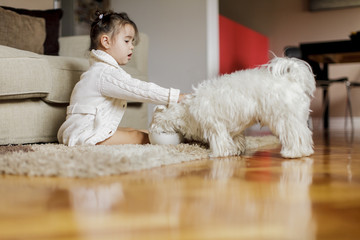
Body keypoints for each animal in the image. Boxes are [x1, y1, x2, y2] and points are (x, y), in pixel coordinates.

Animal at [149, 57, 316, 158]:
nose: (151, 131)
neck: (186, 110)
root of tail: (292, 79)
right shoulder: (232, 128)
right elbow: (236, 139)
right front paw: (235, 150)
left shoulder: (215, 125)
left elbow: (220, 140)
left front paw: (217, 154)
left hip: (285, 119)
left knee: (297, 135)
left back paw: (294, 152)